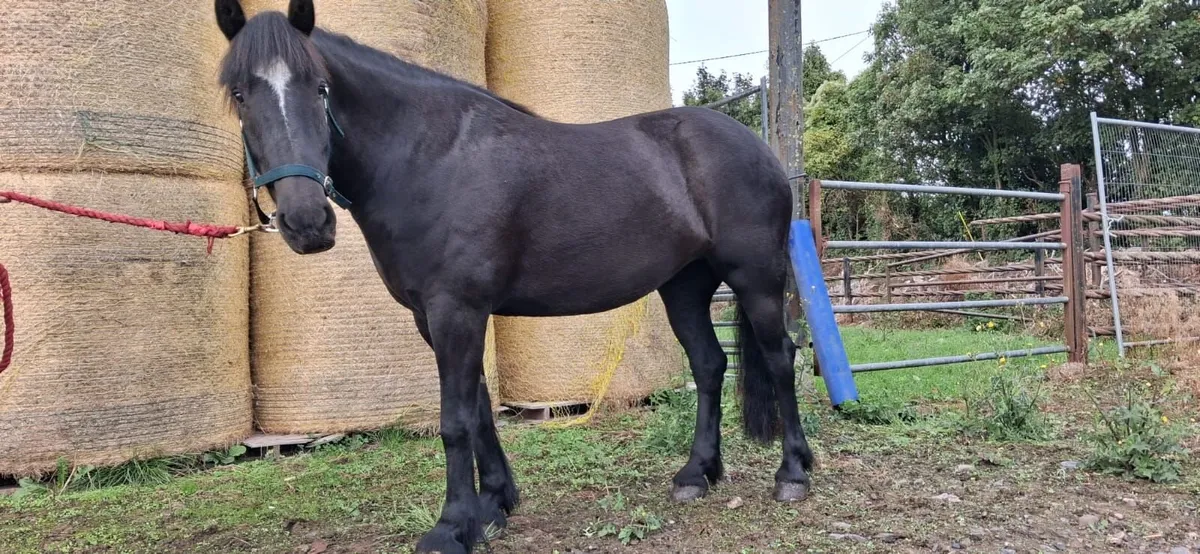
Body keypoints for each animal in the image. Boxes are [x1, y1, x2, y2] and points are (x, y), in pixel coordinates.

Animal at [213, 1, 814, 552]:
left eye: (319, 88)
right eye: (240, 94)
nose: (306, 222)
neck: (429, 157)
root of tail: (756, 147)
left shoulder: (456, 310)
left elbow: (455, 419)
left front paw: (452, 527)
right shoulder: (436, 318)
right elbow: (479, 410)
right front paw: (494, 505)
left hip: (756, 280)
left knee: (780, 359)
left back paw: (793, 473)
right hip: (684, 287)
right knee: (709, 366)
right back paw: (697, 474)